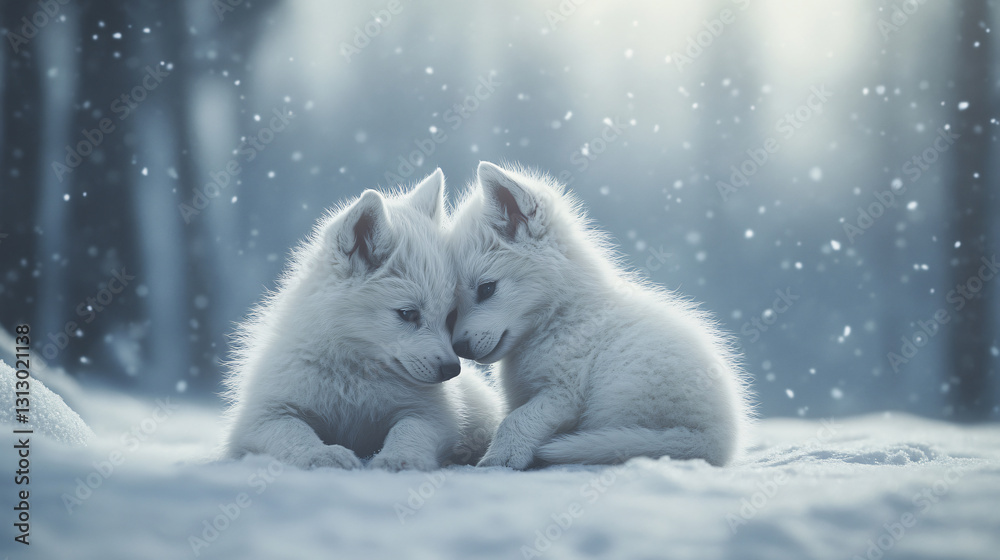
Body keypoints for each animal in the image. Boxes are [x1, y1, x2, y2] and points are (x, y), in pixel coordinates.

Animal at [223, 169, 503, 471]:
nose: (453, 370)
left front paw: (398, 458)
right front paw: (321, 455)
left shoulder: (432, 415)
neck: (355, 372)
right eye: (408, 313)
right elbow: (294, 433)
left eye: (450, 316)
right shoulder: (262, 417)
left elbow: (409, 430)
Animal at [447, 161, 752, 468]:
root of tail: (717, 442)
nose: (459, 348)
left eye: (486, 289)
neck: (561, 317)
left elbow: (518, 420)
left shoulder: (565, 393)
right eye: (454, 306)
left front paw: (500, 457)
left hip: (621, 384)